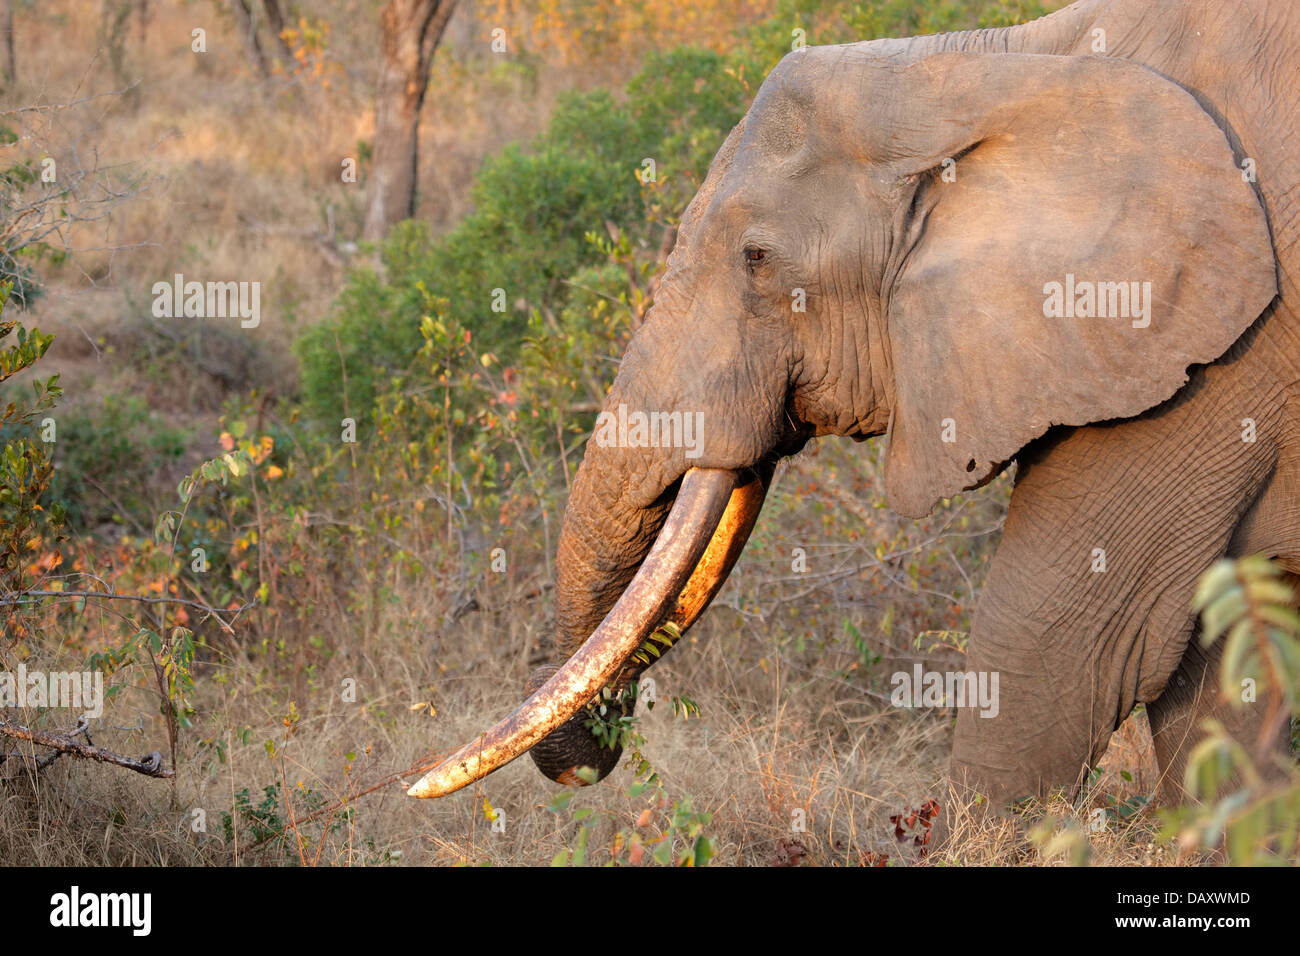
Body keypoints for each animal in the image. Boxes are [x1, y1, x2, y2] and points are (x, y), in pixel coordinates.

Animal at [408, 0, 1300, 822]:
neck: (996, 67)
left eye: (758, 261)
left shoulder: (1218, 354)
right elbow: (1221, 670)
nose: (593, 755)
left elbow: (1063, 640)